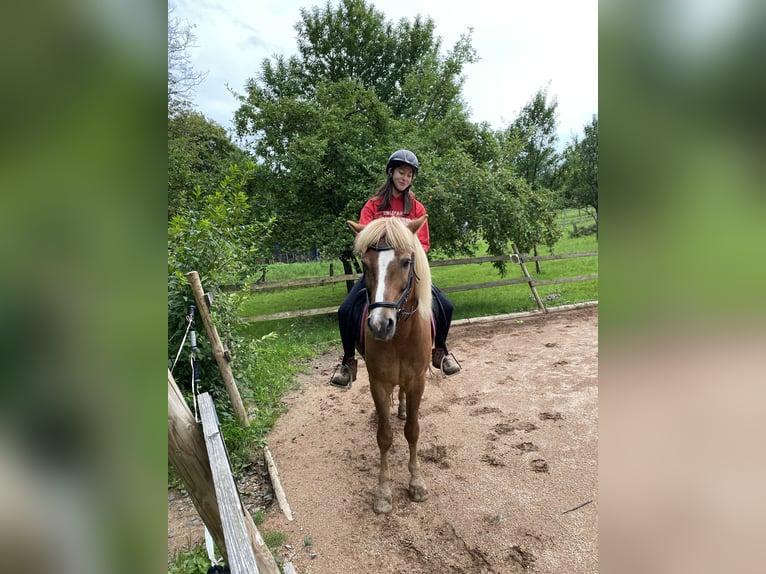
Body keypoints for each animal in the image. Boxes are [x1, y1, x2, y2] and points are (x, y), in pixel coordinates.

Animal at [347, 214, 433, 514]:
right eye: (364, 264)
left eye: (407, 262)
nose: (380, 325)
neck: (400, 337)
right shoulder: (379, 383)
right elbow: (384, 436)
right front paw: (383, 492)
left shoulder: (417, 381)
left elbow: (413, 432)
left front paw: (417, 483)